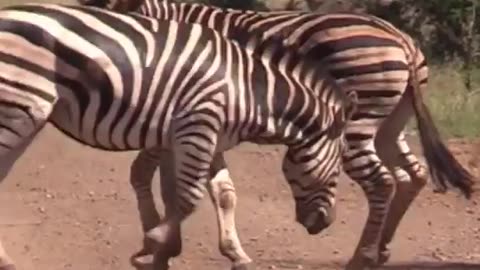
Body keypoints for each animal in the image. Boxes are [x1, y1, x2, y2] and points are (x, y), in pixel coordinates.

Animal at [0, 2, 356, 270]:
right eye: (340, 165)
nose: (326, 223)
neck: (250, 93)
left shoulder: (212, 139)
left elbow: (224, 194)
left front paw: (236, 253)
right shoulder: (197, 127)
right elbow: (188, 197)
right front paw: (156, 244)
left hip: (25, 112)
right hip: (19, 104)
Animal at [79, 0, 476, 270]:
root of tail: (400, 38)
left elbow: (149, 176)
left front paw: (157, 243)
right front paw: (164, 243)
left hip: (356, 122)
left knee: (382, 181)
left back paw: (361, 257)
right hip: (392, 123)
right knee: (412, 175)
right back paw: (381, 249)